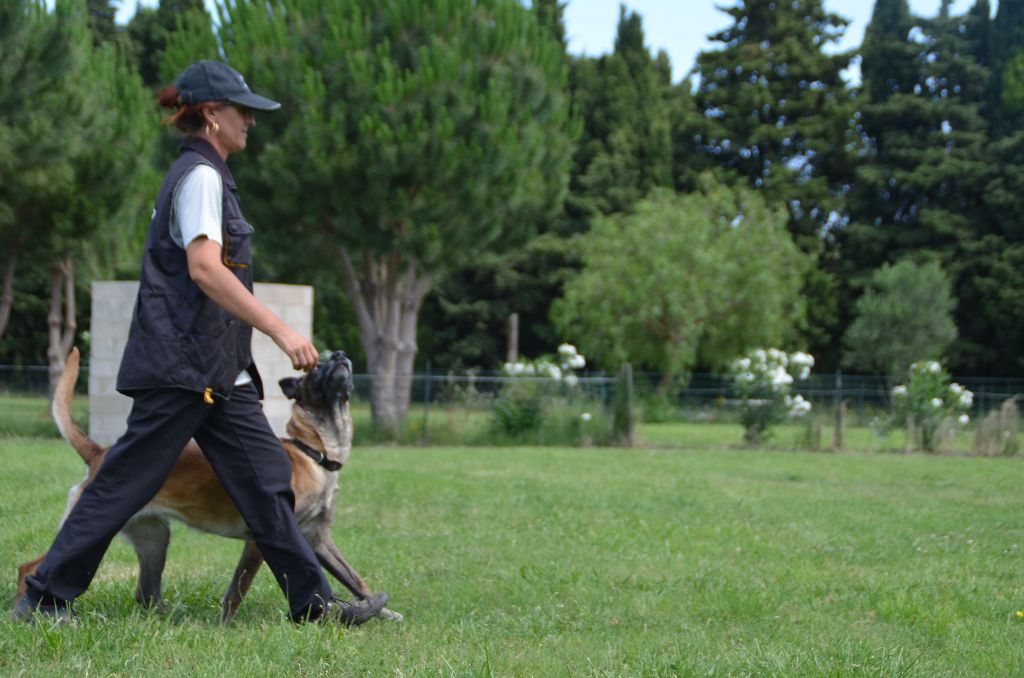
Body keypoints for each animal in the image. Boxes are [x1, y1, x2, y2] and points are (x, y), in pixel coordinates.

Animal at [17, 350, 399, 626]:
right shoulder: (263, 537)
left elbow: (357, 580)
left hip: (155, 540)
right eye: (316, 368)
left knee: (146, 592)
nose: (340, 356)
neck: (314, 451)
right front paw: (226, 628)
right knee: (30, 567)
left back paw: (166, 619)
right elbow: (237, 590)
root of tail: (99, 452)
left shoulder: (318, 540)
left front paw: (380, 611)